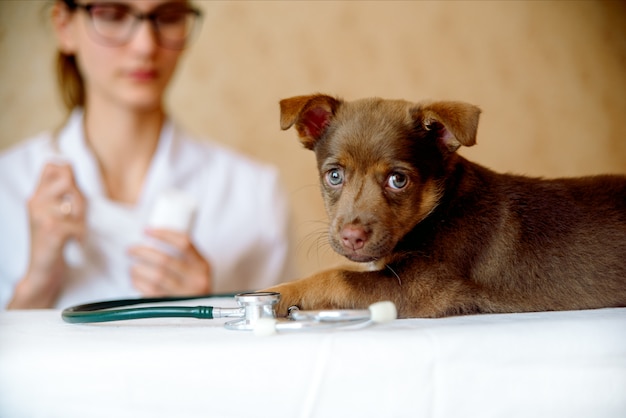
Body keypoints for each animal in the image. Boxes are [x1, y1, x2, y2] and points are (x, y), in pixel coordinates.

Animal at [264, 94, 624, 316]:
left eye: (398, 180)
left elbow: (335, 275)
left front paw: (281, 292)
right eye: (335, 175)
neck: (439, 209)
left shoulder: (415, 289)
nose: (352, 237)